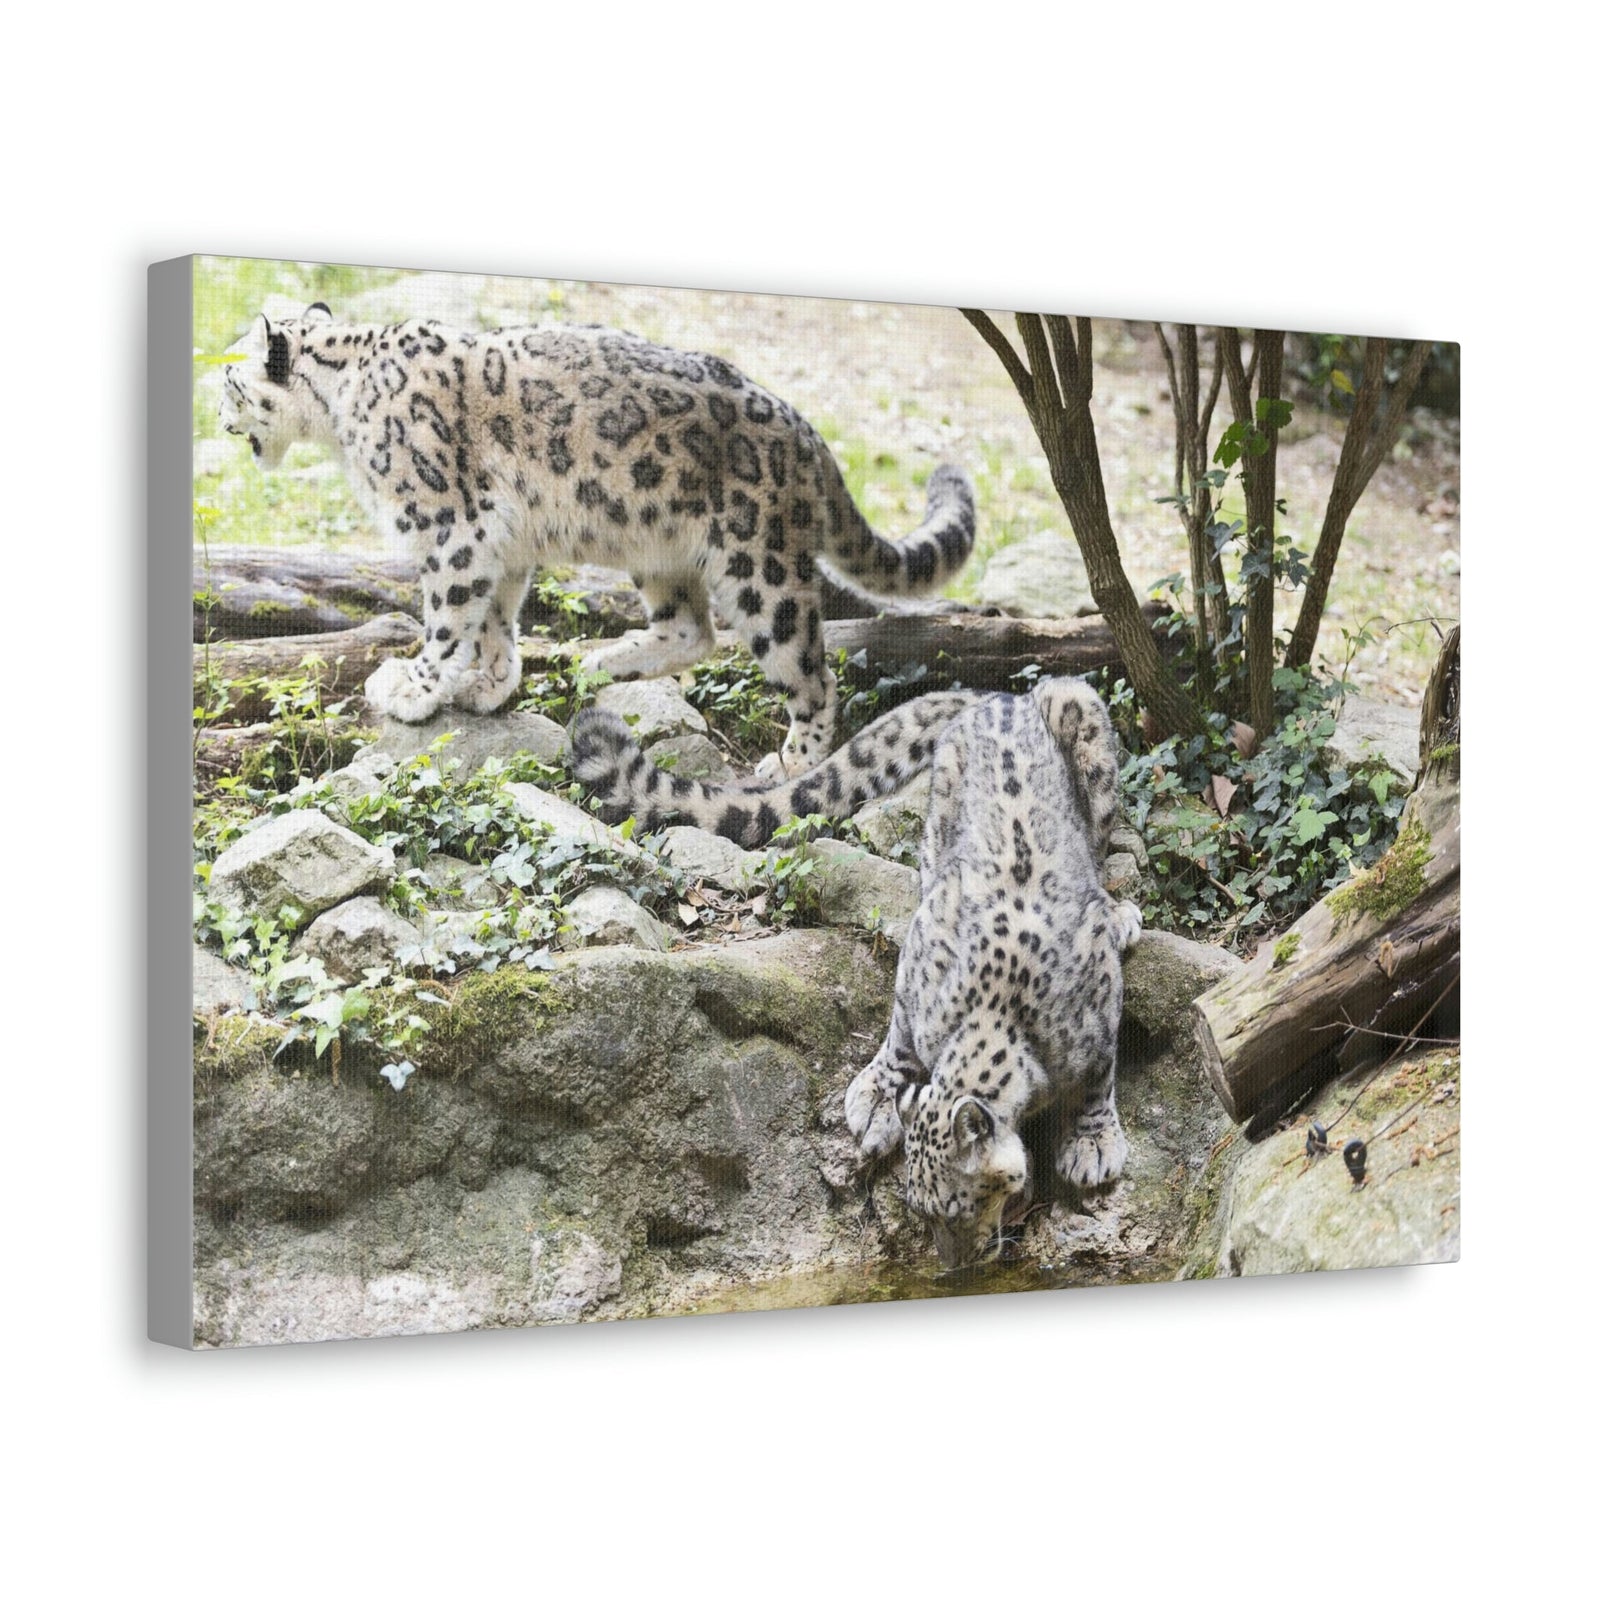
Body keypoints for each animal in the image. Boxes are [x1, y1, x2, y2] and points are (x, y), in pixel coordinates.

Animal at [219, 303, 975, 778]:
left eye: (230, 379)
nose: (218, 414)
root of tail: (809, 436)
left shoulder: (451, 528)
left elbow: (446, 618)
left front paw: (413, 687)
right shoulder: (499, 544)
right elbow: (495, 618)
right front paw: (491, 685)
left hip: (758, 565)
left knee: (811, 673)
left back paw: (792, 760)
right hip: (657, 549)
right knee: (692, 630)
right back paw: (606, 660)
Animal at [573, 675, 1141, 1268]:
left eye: (960, 1205)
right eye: (920, 1207)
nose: (952, 1265)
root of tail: (1000, 697)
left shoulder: (1097, 1009)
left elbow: (1099, 1077)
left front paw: (1092, 1143)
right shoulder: (922, 962)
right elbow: (899, 1037)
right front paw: (878, 1097)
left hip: (1083, 721)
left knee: (1099, 846)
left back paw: (1117, 911)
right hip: (941, 818)